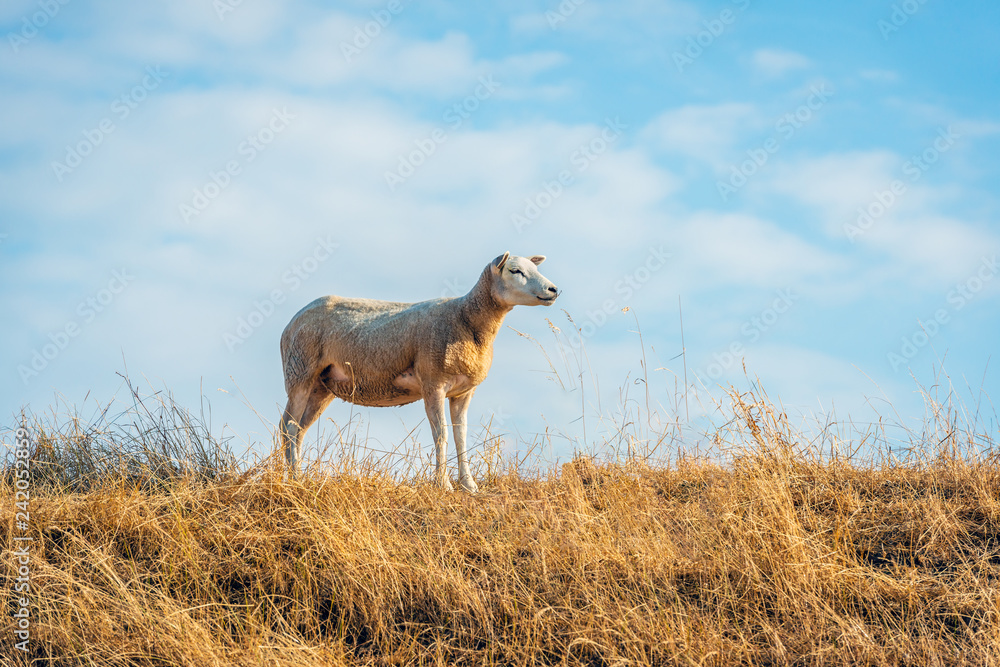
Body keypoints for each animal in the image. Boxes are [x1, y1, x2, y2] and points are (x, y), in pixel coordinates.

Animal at [279, 252, 559, 492]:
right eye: (515, 270)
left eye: (535, 268)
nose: (553, 290)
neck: (466, 318)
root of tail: (291, 322)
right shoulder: (433, 384)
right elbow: (441, 435)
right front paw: (443, 484)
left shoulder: (463, 392)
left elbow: (461, 435)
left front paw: (468, 485)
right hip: (300, 371)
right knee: (289, 426)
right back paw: (295, 479)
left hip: (322, 386)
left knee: (297, 429)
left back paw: (297, 475)